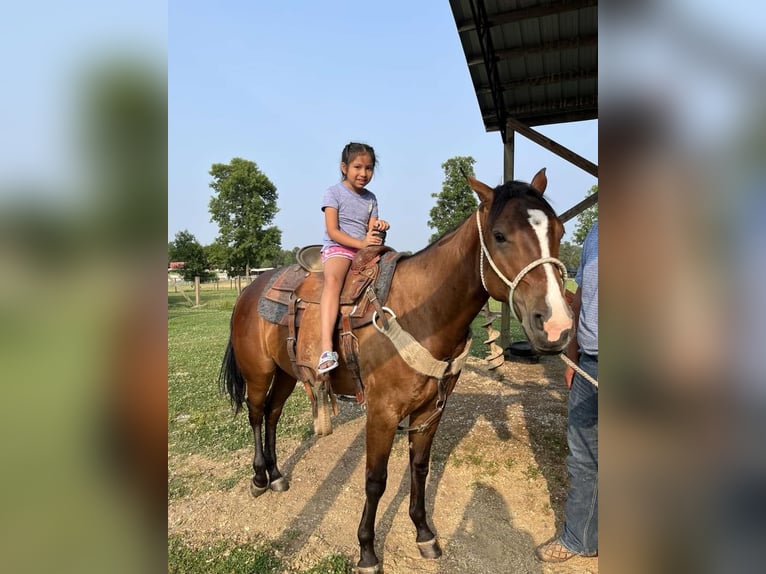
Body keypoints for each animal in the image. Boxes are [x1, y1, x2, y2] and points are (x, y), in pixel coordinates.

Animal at [219, 169, 573, 573]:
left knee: (273, 414)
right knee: (256, 414)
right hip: (259, 373)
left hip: (289, 373)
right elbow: (376, 480)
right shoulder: (383, 413)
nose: (557, 326)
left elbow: (419, 468)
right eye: (499, 235)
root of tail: (252, 288)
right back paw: (259, 478)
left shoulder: (430, 411)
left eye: (559, 230)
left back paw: (277, 476)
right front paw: (367, 551)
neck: (421, 312)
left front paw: (424, 533)